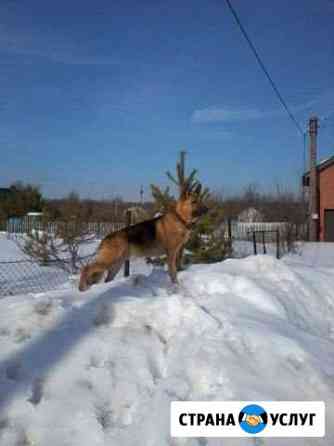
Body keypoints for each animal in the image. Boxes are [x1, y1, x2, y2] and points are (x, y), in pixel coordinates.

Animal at [79, 184, 207, 290]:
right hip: (110, 261)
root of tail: (106, 238)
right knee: (86, 268)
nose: (207, 209)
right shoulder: (171, 254)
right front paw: (175, 286)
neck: (180, 218)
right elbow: (173, 273)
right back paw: (82, 289)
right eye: (194, 202)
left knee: (106, 279)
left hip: (116, 264)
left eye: (201, 201)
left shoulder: (175, 253)